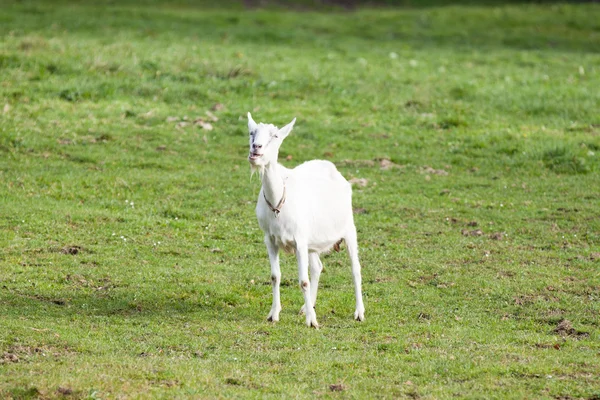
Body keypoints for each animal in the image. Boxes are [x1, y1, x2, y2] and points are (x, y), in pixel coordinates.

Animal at [246, 113, 364, 328]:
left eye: (275, 136)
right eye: (252, 132)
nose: (255, 148)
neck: (278, 202)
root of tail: (331, 167)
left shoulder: (299, 240)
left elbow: (303, 280)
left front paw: (312, 321)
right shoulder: (270, 239)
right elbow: (275, 276)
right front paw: (273, 314)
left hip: (349, 228)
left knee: (355, 269)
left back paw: (359, 312)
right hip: (312, 241)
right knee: (317, 267)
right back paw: (306, 307)